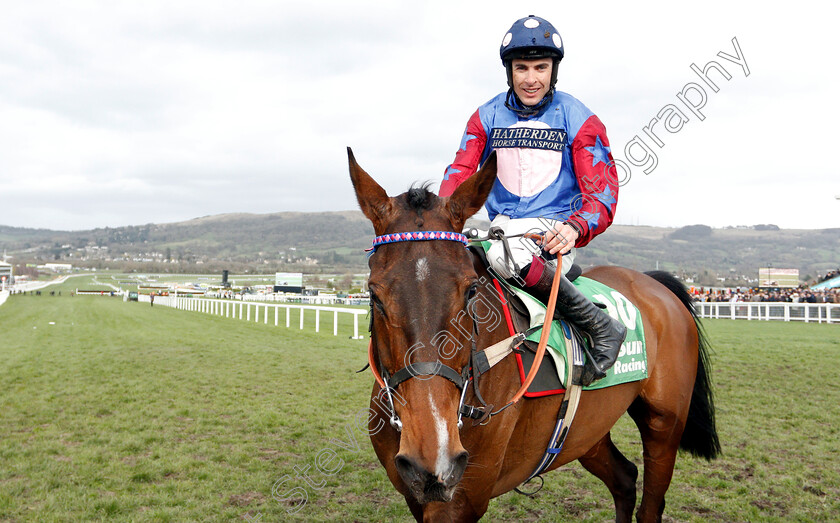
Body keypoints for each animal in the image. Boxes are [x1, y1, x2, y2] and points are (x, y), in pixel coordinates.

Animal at [344, 148, 720, 523]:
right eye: (374, 295)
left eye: (471, 291)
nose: (433, 460)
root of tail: (655, 283)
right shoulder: (416, 492)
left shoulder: (459, 500)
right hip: (586, 431)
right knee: (625, 480)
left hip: (664, 426)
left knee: (650, 504)